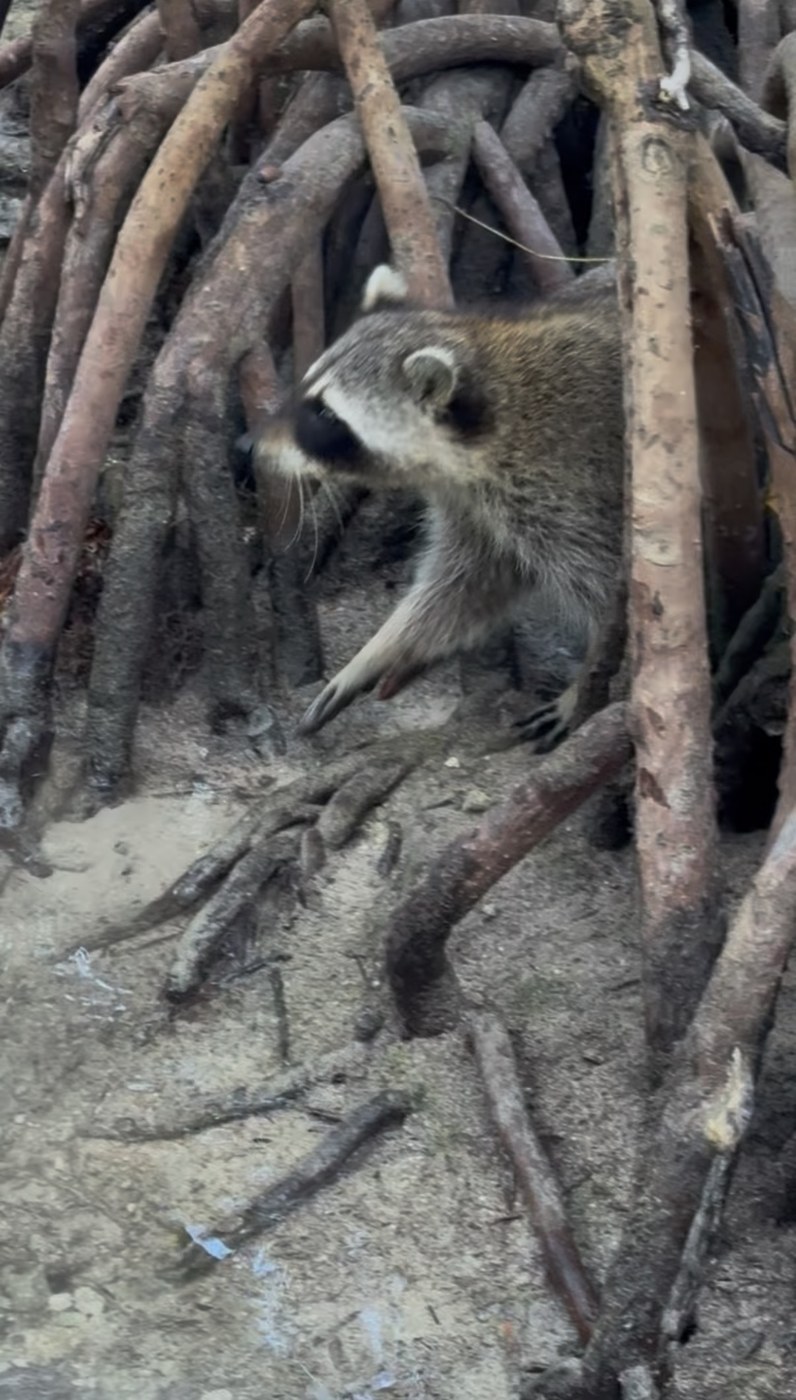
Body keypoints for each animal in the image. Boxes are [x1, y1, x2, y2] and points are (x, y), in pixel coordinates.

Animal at [254, 265, 625, 748]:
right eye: (304, 387)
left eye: (327, 416)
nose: (247, 446)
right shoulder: (475, 505)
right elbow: (464, 584)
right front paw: (380, 650)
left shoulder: (569, 494)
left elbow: (613, 597)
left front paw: (585, 689)